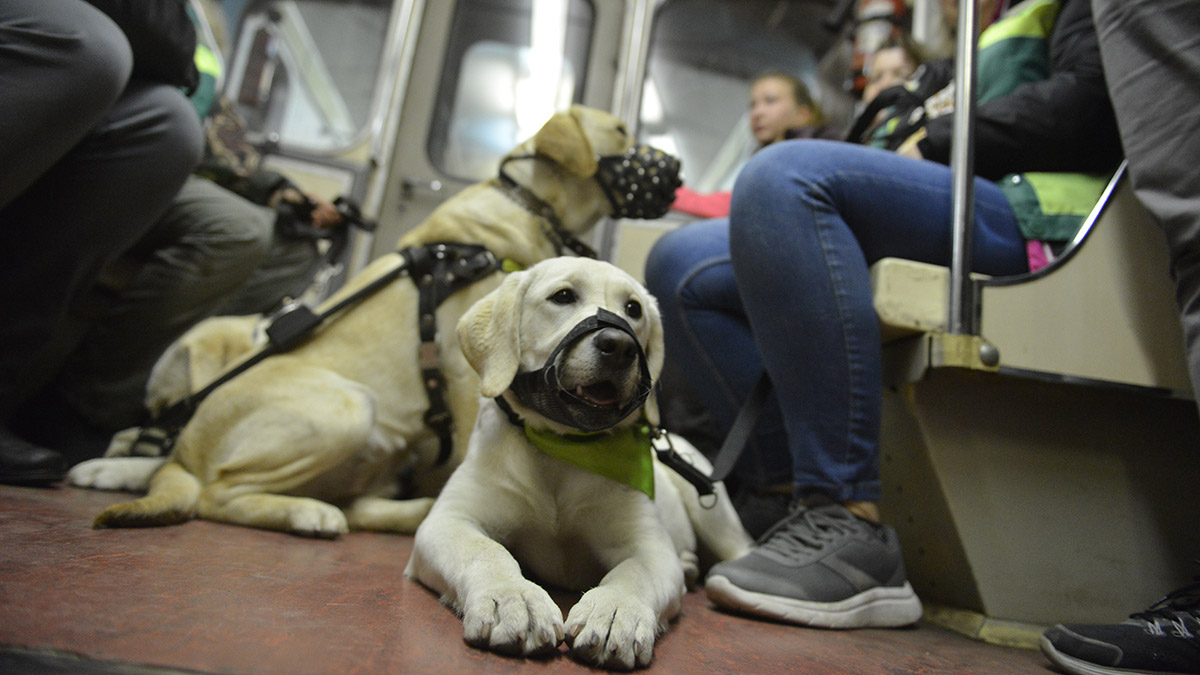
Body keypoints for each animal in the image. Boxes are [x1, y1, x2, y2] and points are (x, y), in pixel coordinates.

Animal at [82, 105, 686, 535]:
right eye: (620, 129)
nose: (679, 171)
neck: (527, 205)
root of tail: (185, 442)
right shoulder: (468, 379)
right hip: (349, 406)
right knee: (216, 494)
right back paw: (311, 514)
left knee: (352, 502)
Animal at [408, 255, 753, 667]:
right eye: (562, 296)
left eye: (633, 308)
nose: (619, 346)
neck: (563, 449)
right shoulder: (448, 521)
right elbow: (487, 551)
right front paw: (514, 598)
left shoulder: (649, 545)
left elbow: (634, 573)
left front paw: (616, 612)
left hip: (706, 500)